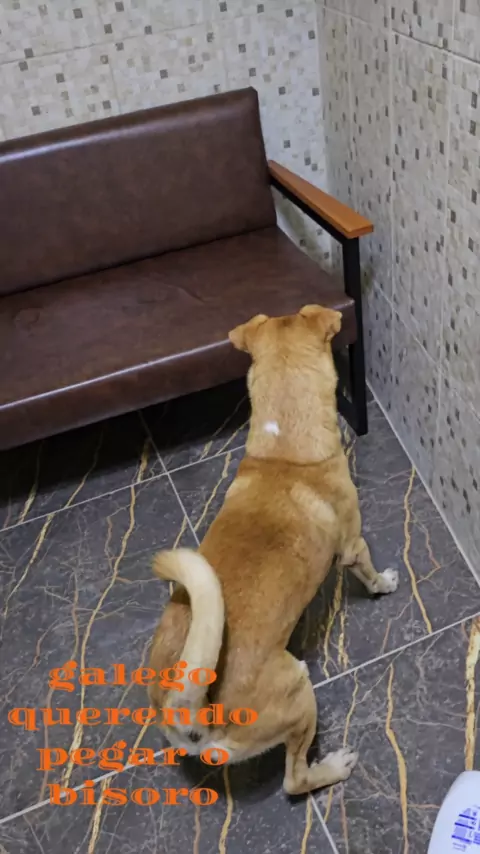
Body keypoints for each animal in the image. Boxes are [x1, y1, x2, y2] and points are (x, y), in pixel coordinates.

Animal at [148, 305, 398, 795]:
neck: (284, 448)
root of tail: (188, 714)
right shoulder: (353, 546)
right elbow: (370, 574)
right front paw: (385, 584)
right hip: (298, 694)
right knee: (293, 781)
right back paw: (332, 768)